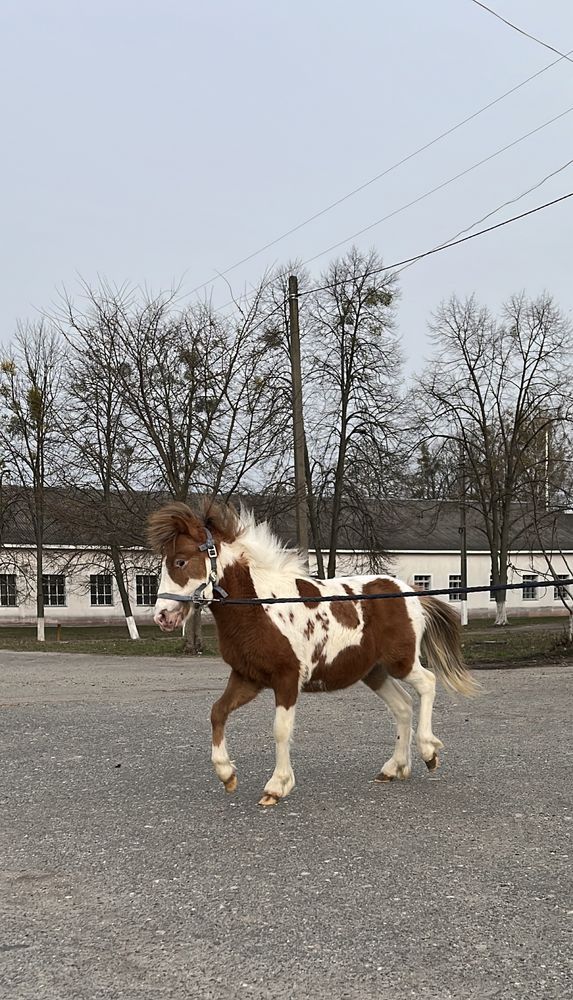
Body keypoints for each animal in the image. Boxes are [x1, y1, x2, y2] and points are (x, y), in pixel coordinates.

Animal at [145, 496, 476, 808]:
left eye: (180, 562)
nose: (162, 616)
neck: (261, 607)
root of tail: (411, 593)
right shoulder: (247, 677)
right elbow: (217, 712)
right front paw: (227, 774)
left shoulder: (287, 678)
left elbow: (280, 729)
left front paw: (276, 786)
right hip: (374, 671)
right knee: (403, 706)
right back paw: (394, 767)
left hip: (400, 662)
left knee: (427, 684)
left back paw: (428, 751)